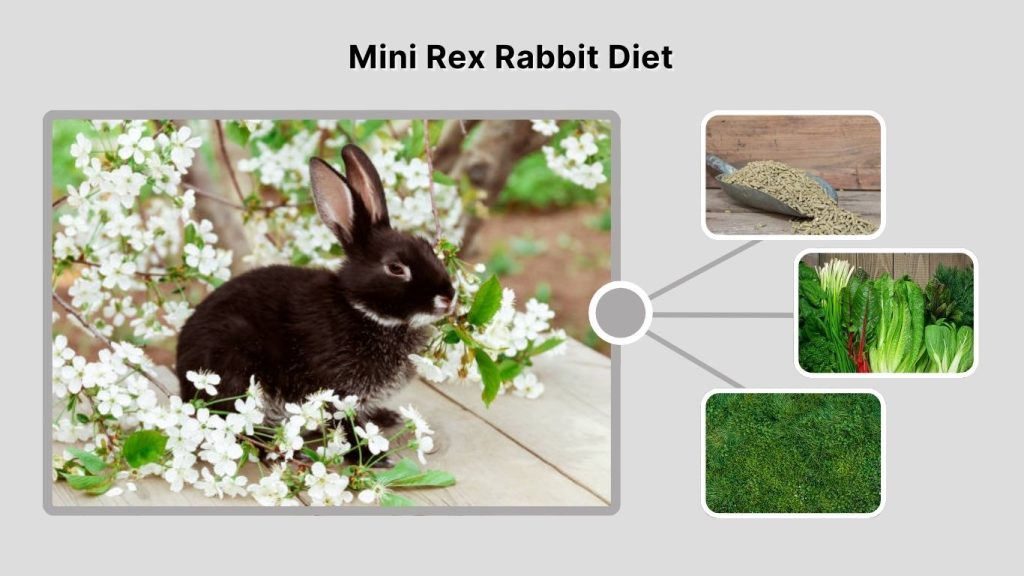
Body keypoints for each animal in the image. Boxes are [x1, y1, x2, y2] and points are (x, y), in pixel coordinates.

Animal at [176, 144, 456, 434]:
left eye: (428, 247)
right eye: (396, 268)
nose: (449, 297)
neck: (363, 311)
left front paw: (382, 418)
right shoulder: (336, 390)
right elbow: (342, 421)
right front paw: (361, 446)